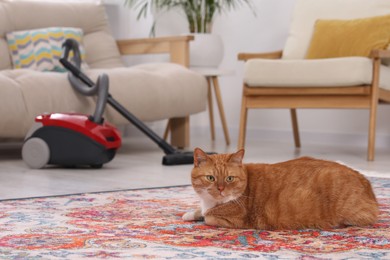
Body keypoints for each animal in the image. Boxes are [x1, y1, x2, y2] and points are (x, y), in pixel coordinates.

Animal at [184, 148, 380, 230]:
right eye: (210, 178)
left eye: (229, 178)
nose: (221, 189)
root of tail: (365, 179)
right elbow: (199, 211)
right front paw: (190, 213)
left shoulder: (234, 221)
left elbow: (208, 217)